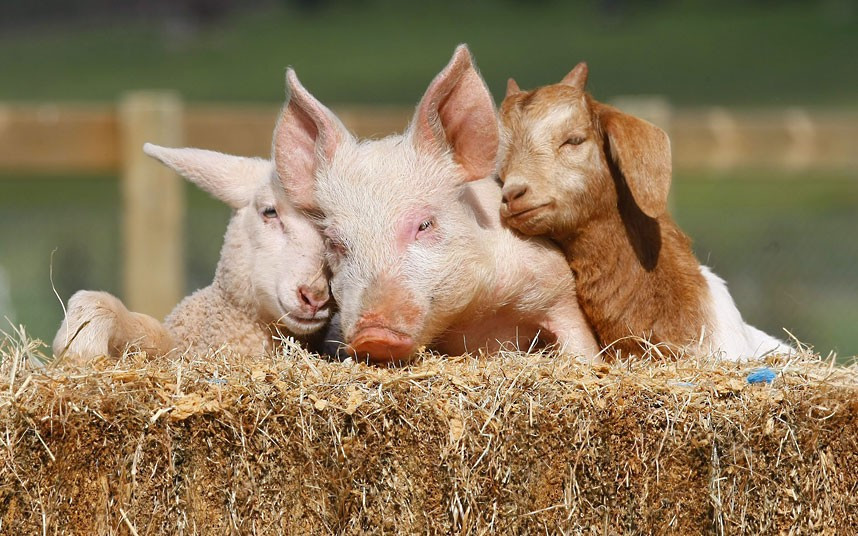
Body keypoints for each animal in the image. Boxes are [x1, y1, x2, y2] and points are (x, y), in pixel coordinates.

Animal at [273, 45, 599, 364]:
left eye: (424, 225)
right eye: (335, 242)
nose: (373, 335)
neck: (473, 318)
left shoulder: (556, 285)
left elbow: (581, 345)